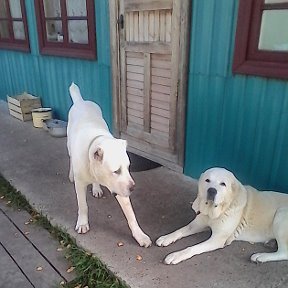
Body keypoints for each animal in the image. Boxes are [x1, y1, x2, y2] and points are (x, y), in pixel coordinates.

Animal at [66, 82, 152, 248]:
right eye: (116, 171)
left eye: (128, 168)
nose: (133, 188)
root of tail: (81, 101)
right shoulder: (80, 185)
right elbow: (83, 205)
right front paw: (83, 223)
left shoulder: (121, 189)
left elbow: (131, 215)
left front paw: (139, 235)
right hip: (69, 145)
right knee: (70, 158)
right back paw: (71, 174)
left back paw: (96, 188)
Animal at [156, 168, 288, 264]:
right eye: (207, 180)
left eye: (223, 184)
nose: (212, 191)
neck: (216, 211)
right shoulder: (197, 225)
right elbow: (180, 231)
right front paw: (166, 237)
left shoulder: (217, 239)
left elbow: (192, 248)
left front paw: (176, 255)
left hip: (281, 214)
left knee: (284, 253)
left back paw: (261, 256)